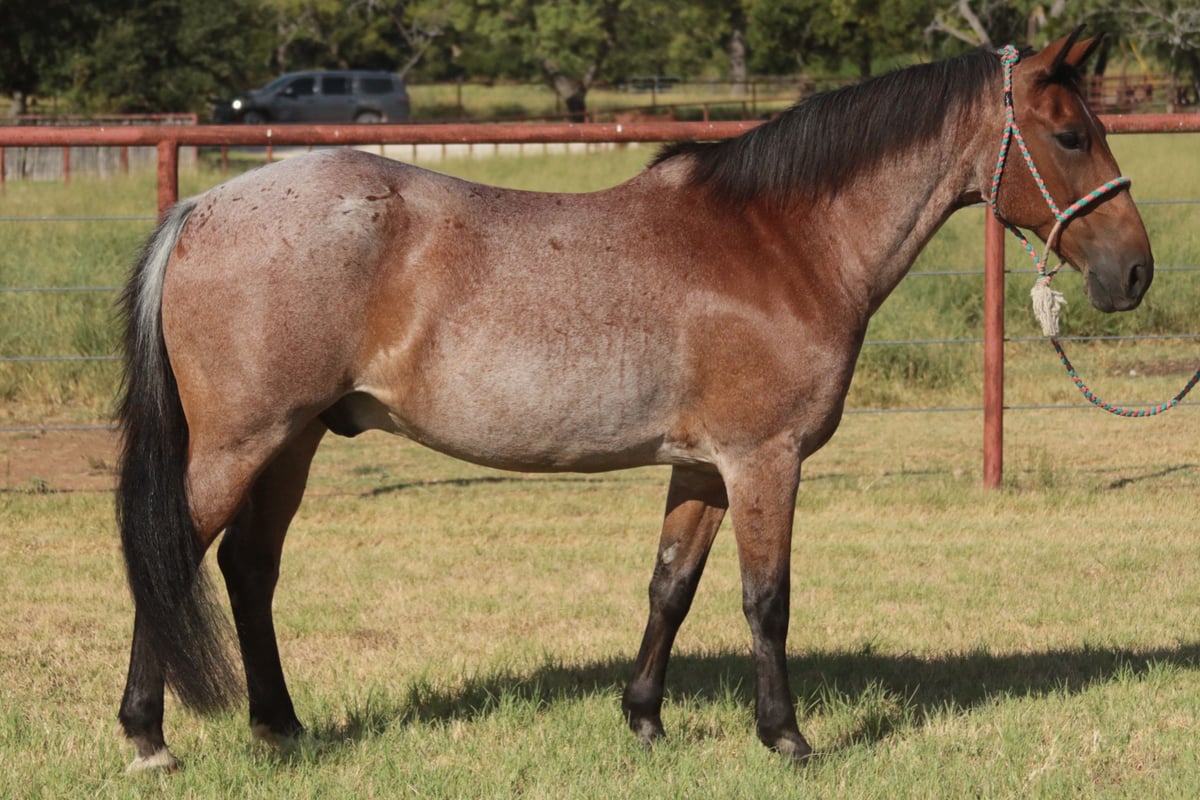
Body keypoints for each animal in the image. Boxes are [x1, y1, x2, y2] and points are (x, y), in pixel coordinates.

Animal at [116, 29, 1153, 771]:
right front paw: (787, 737)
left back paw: (281, 728)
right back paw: (148, 737)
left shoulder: (702, 467)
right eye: (1071, 135)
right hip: (241, 442)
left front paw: (645, 721)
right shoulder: (764, 459)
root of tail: (204, 207)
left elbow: (671, 587)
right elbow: (766, 599)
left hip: (292, 442)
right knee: (172, 558)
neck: (782, 241)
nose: (1134, 273)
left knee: (249, 569)